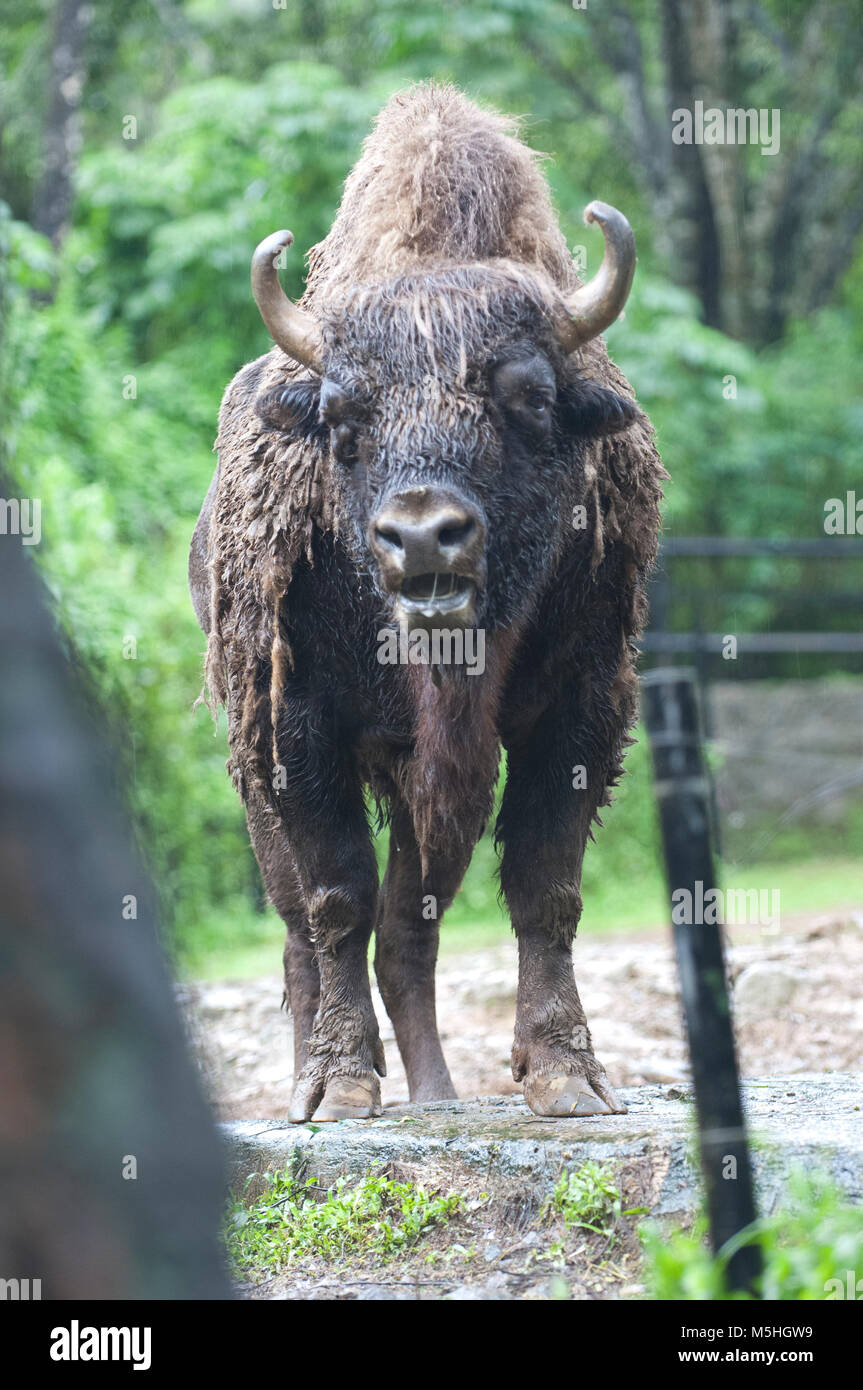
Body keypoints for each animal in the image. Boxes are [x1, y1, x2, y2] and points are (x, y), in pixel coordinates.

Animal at [190, 84, 658, 1117]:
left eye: (528, 398)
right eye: (340, 417)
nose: (419, 534)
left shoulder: (578, 714)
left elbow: (544, 888)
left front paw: (567, 1075)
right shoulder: (301, 730)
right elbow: (335, 901)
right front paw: (336, 1088)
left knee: (411, 935)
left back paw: (439, 1095)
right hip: (254, 761)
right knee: (305, 935)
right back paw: (320, 1079)